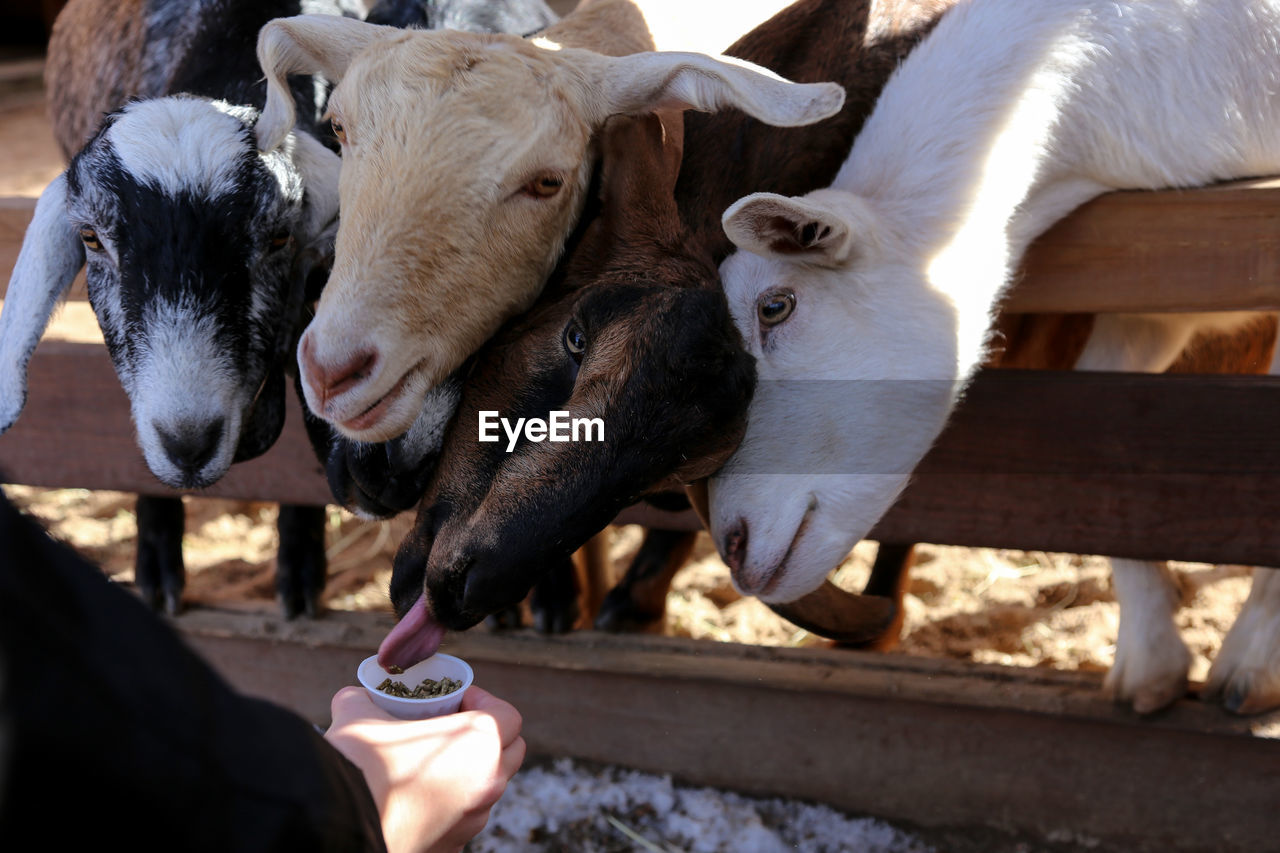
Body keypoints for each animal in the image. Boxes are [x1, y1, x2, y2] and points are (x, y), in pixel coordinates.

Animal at [711, 0, 1280, 706]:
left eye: (775, 306)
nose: (732, 546)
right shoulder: (1144, 313)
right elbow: (1109, 436)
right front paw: (1152, 664)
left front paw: (1249, 669)